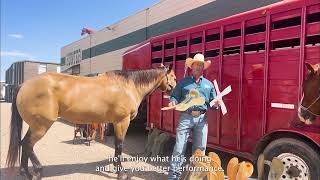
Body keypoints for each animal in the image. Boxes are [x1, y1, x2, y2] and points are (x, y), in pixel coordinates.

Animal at [6, 64, 176, 179]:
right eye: (173, 76)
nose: (173, 88)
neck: (127, 86)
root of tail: (23, 85)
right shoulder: (122, 122)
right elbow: (119, 145)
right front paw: (121, 172)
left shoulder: (115, 123)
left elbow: (117, 146)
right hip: (41, 126)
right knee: (27, 144)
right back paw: (38, 171)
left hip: (35, 125)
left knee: (24, 143)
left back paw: (26, 172)